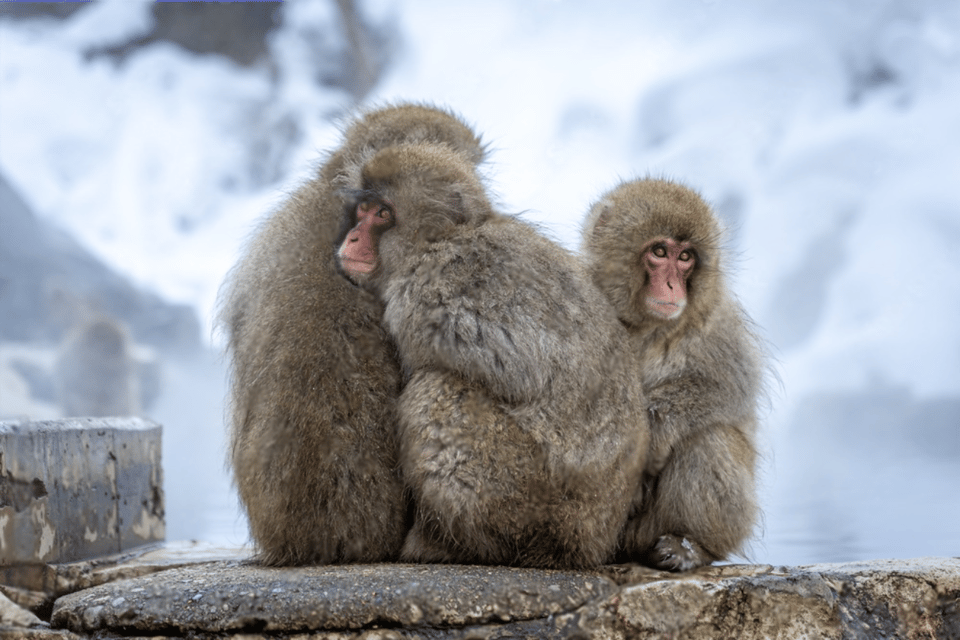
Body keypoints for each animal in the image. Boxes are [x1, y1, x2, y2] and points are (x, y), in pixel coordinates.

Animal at [340, 141, 652, 568]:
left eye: (383, 214)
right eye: (364, 210)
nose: (352, 237)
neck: (438, 241)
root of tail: (589, 543)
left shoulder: (425, 296)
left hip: (527, 498)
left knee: (436, 390)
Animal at [576, 178, 764, 572]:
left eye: (686, 257)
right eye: (660, 251)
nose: (673, 286)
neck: (643, 325)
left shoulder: (716, 322)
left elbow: (728, 387)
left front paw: (653, 436)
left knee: (709, 437)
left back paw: (690, 546)